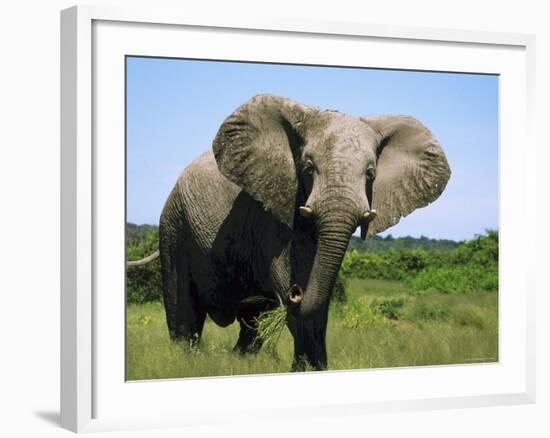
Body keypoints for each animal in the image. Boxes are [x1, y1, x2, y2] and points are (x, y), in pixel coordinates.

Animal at [132, 94, 450, 372]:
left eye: (371, 174)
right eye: (308, 168)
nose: (297, 291)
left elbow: (319, 303)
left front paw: (317, 369)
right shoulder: (271, 213)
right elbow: (289, 286)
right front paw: (304, 369)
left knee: (251, 324)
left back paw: (238, 361)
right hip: (174, 225)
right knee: (183, 311)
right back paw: (186, 363)